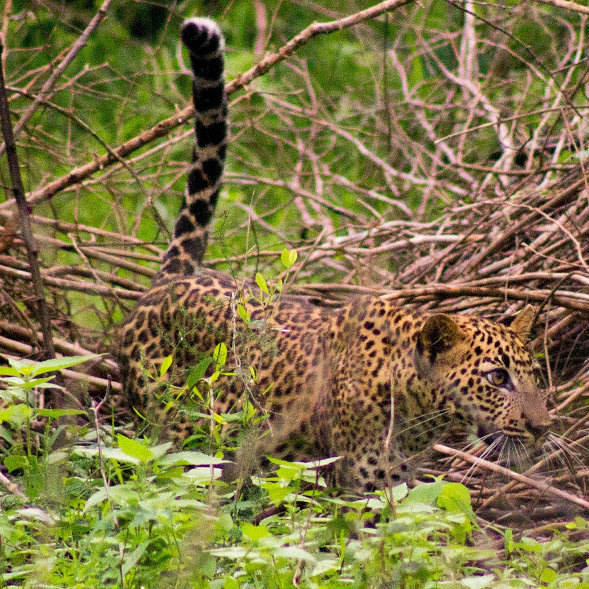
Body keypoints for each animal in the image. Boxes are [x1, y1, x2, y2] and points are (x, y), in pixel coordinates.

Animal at [119, 16, 552, 490]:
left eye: (533, 375)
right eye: (497, 378)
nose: (542, 428)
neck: (414, 403)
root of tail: (174, 278)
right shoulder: (359, 492)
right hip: (165, 432)